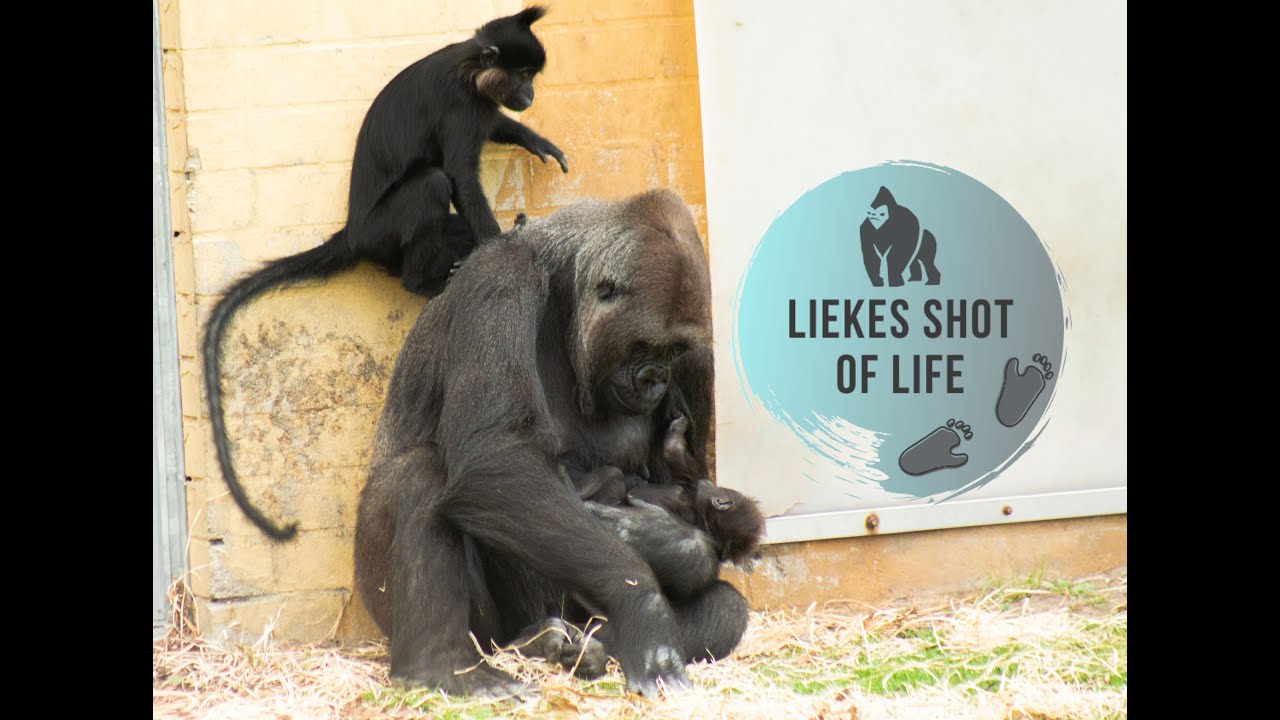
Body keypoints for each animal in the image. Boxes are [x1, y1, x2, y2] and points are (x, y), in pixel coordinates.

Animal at [203, 6, 567, 541]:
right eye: (522, 76)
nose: (530, 95)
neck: (471, 69)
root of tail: (354, 232)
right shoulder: (461, 108)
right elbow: (460, 174)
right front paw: (498, 247)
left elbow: (492, 132)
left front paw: (529, 138)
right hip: (384, 230)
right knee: (433, 183)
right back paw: (423, 281)